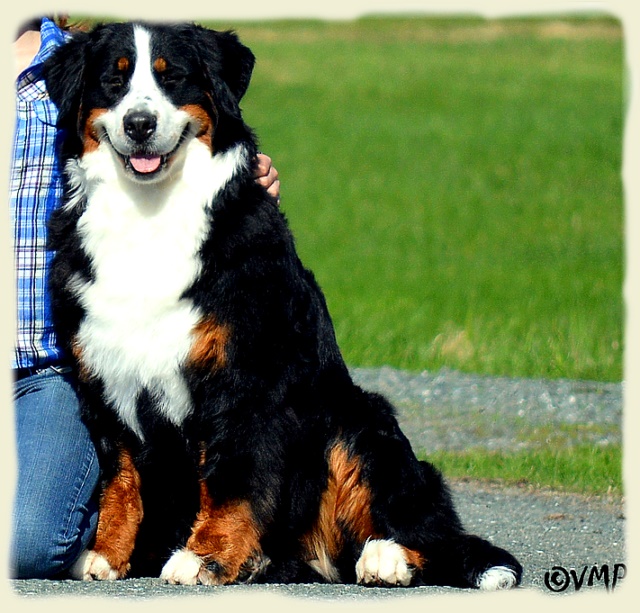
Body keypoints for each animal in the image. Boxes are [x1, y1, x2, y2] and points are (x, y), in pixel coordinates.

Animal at [45, 21, 524, 588]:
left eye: (173, 77)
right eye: (113, 81)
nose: (139, 124)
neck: (148, 214)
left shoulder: (244, 376)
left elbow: (231, 475)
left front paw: (204, 557)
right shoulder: (104, 376)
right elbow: (119, 477)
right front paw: (105, 553)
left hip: (354, 422)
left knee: (429, 531)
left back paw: (386, 558)